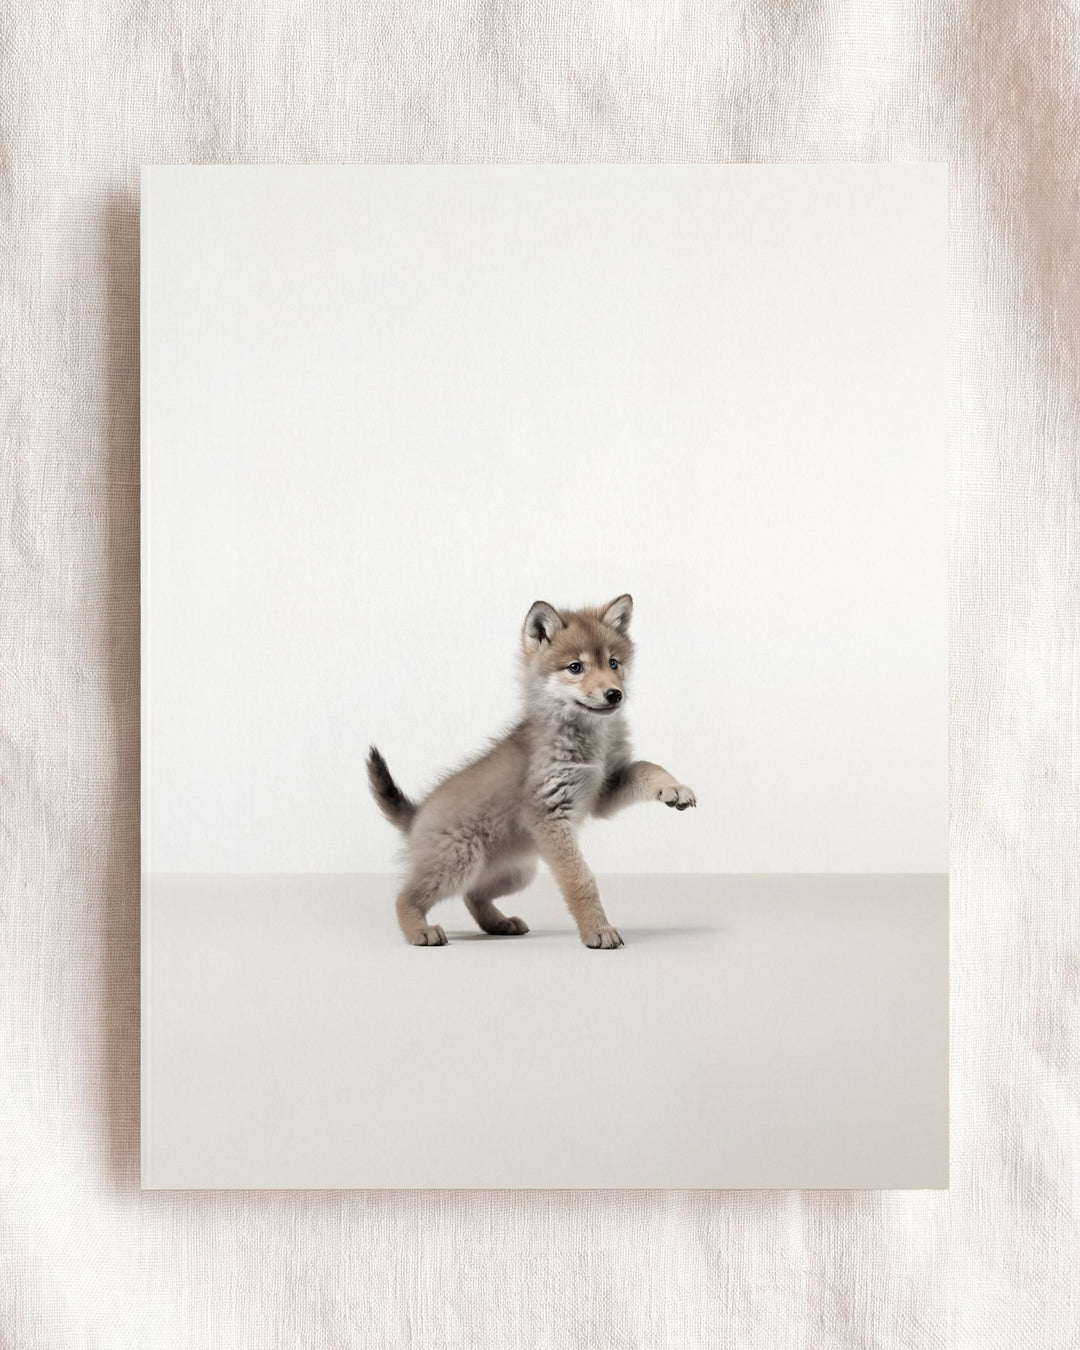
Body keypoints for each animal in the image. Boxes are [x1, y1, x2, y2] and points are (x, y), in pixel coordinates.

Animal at [367, 594, 696, 948]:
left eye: (613, 663)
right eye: (575, 667)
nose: (614, 694)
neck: (589, 738)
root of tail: (416, 814)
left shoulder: (604, 790)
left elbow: (648, 766)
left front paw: (673, 788)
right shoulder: (550, 815)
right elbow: (581, 879)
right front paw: (597, 929)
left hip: (516, 873)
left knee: (472, 895)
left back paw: (499, 923)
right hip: (459, 862)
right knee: (406, 896)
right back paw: (419, 931)